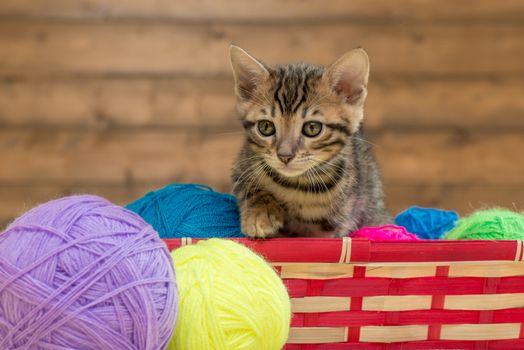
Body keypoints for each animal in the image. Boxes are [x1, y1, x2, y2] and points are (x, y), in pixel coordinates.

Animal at [228, 45, 388, 238]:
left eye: (312, 128)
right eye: (266, 127)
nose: (285, 155)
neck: (297, 185)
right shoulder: (241, 165)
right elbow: (249, 186)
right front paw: (260, 213)